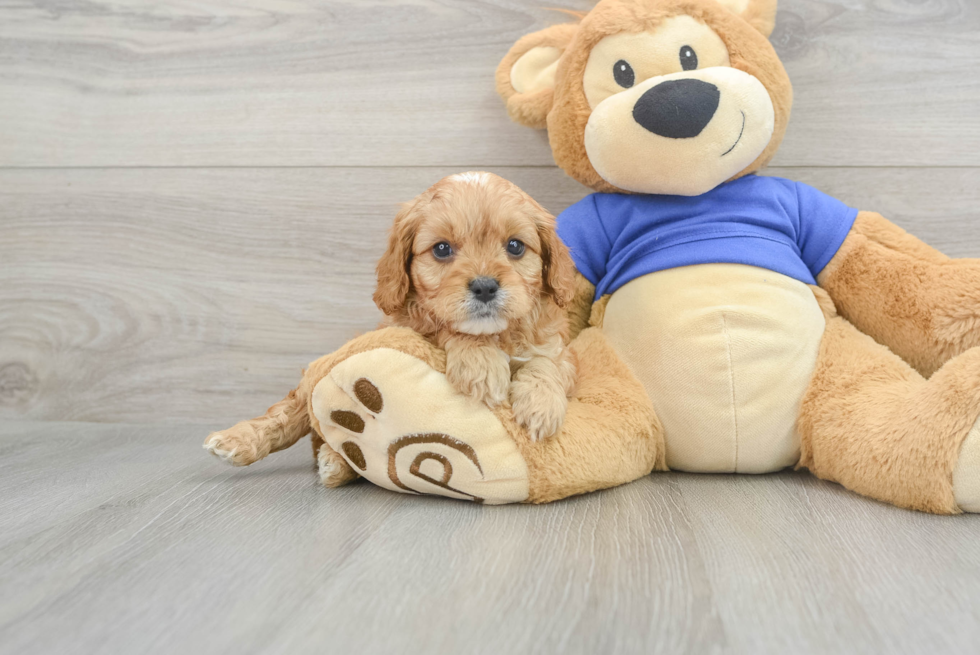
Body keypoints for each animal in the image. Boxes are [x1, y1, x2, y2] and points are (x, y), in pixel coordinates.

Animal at [374, 172, 576, 444]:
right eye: (441, 248)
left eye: (515, 246)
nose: (485, 287)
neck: (496, 333)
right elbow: (444, 328)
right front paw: (482, 363)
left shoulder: (560, 350)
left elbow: (546, 359)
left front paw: (541, 403)